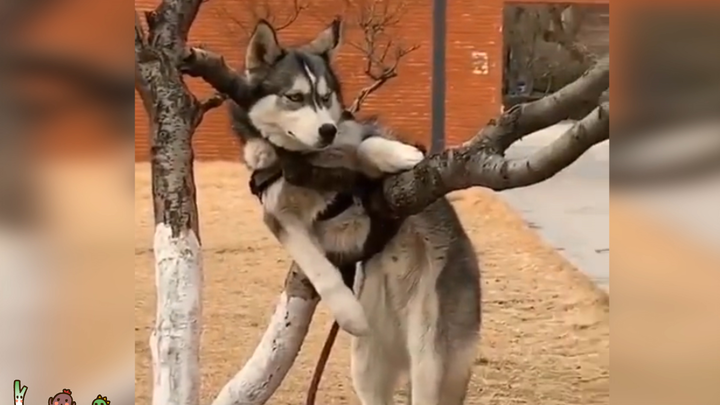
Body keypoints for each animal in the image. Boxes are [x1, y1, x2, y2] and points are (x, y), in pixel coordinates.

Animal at [236, 19, 480, 404]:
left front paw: (401, 154)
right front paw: (349, 314)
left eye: (325, 97)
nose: (327, 129)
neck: (303, 160)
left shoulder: (354, 140)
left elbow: (365, 144)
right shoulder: (278, 216)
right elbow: (315, 264)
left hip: (432, 349)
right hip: (368, 361)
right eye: (294, 97)